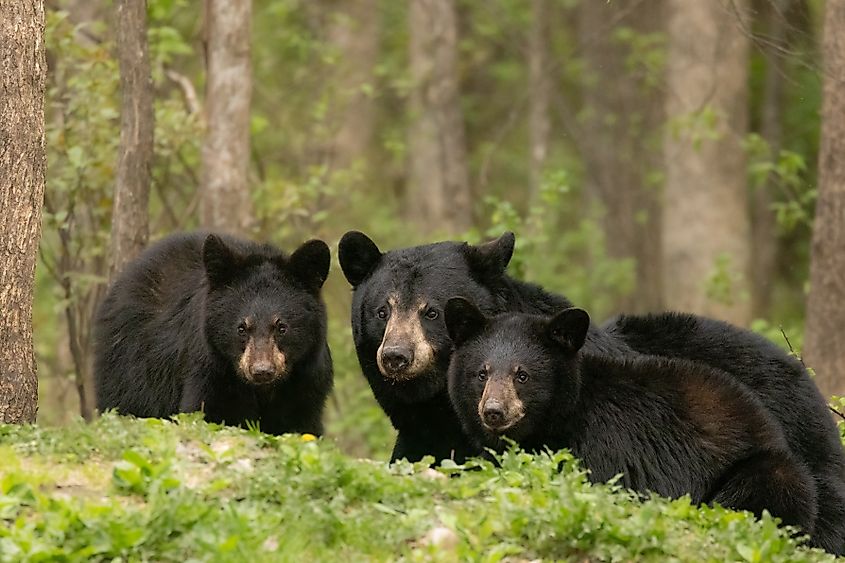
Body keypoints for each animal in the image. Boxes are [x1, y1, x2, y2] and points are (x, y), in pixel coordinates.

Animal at [95, 231, 332, 434]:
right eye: (241, 328)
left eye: (282, 327)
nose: (262, 371)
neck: (264, 390)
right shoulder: (211, 371)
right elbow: (207, 412)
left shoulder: (306, 385)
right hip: (130, 369)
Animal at [442, 302, 816, 544]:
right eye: (481, 373)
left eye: (522, 375)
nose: (494, 411)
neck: (560, 418)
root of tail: (769, 427)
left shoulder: (603, 444)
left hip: (765, 469)